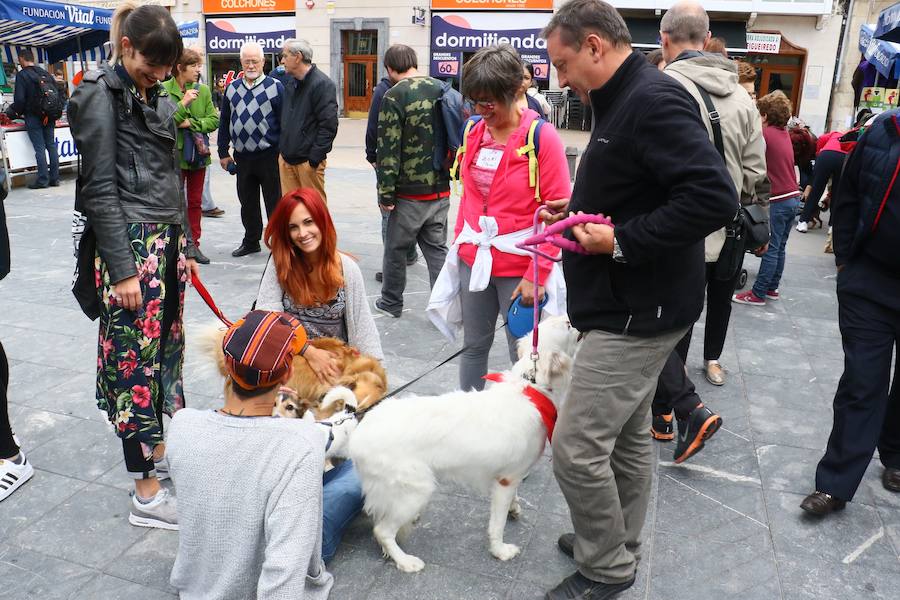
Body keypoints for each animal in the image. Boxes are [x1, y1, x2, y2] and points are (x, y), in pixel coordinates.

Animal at [348, 314, 580, 572]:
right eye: (568, 325)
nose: (572, 316)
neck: (530, 387)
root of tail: (359, 433)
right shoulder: (506, 480)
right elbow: (497, 524)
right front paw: (500, 550)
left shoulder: (510, 475)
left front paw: (514, 508)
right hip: (417, 488)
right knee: (382, 531)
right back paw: (406, 561)